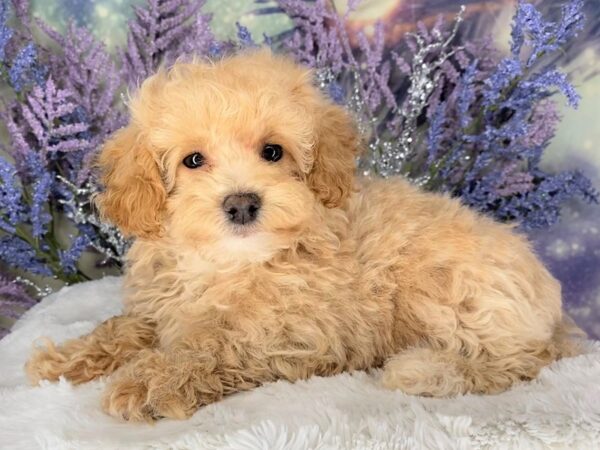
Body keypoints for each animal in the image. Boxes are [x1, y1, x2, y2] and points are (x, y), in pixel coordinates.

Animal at [25, 50, 580, 422]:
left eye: (273, 152)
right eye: (193, 160)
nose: (242, 203)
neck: (231, 260)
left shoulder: (298, 334)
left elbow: (212, 346)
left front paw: (151, 381)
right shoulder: (161, 306)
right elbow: (123, 327)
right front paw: (67, 358)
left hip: (447, 289)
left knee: (516, 362)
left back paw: (427, 369)